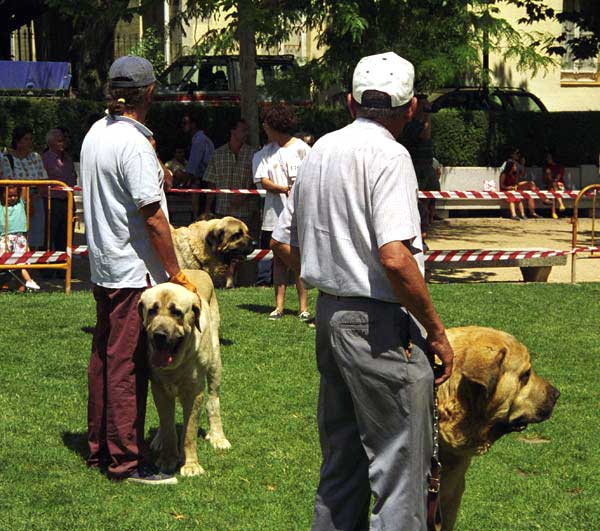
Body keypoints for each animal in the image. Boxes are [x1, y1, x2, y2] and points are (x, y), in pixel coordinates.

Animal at [138, 270, 230, 478]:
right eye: (152, 310)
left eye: (177, 313)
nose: (159, 335)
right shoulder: (159, 389)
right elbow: (168, 425)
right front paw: (167, 459)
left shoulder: (194, 392)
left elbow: (189, 433)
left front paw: (190, 465)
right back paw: (158, 440)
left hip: (215, 363)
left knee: (213, 402)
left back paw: (218, 437)